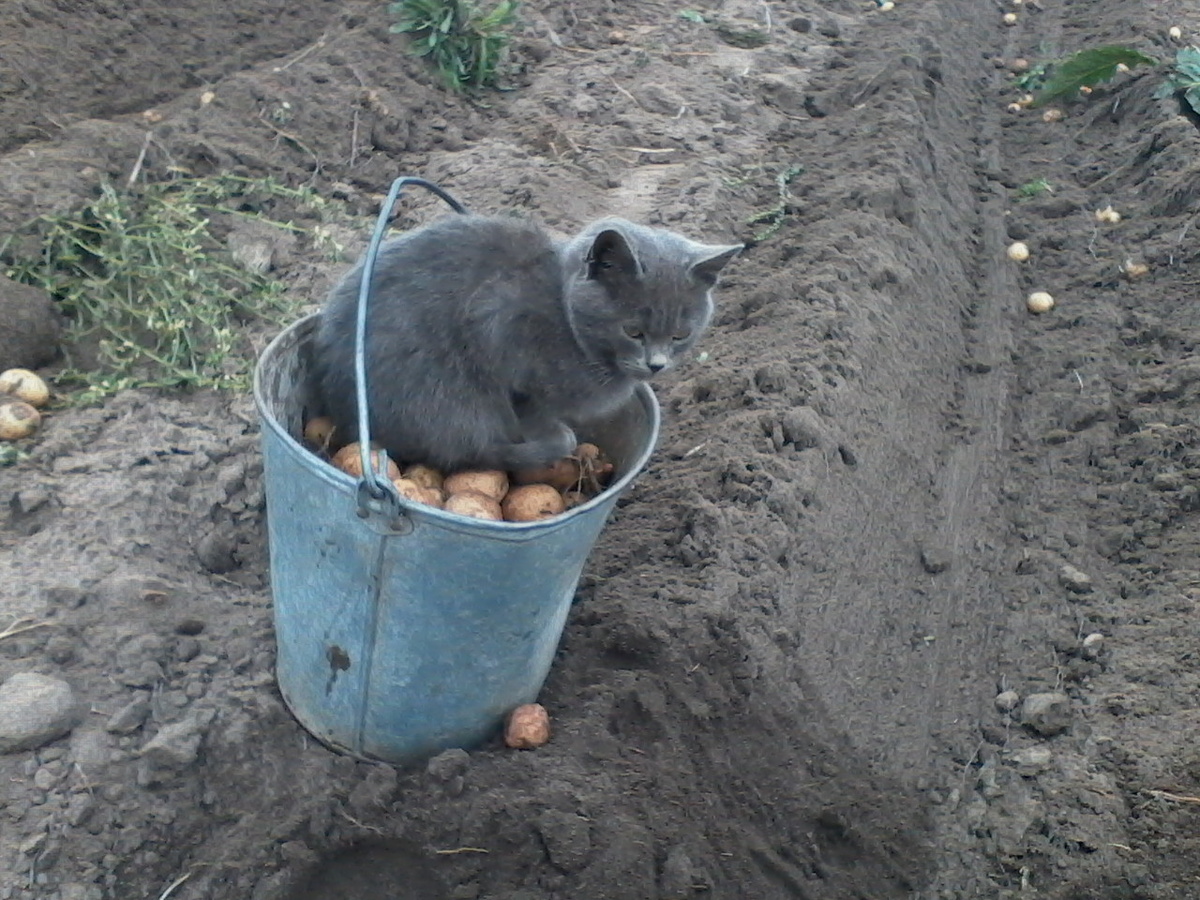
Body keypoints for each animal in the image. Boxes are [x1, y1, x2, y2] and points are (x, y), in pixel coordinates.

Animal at [312, 211, 739, 472]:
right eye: (632, 331)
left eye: (680, 335)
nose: (656, 364)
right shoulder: (498, 323)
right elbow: (532, 409)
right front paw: (553, 435)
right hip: (446, 400)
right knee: (471, 452)